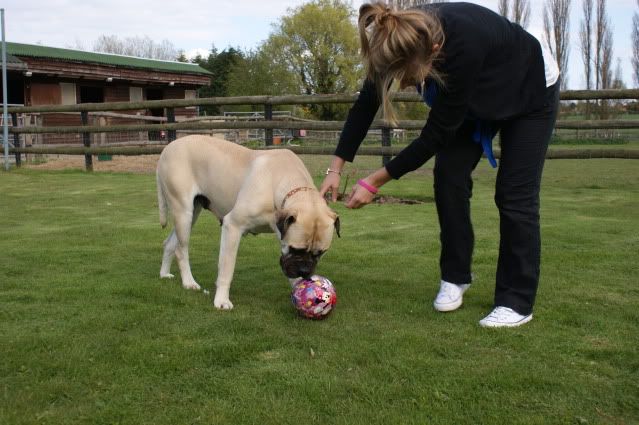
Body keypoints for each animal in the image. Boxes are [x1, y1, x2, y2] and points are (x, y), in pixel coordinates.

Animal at [155, 135, 340, 308]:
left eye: (320, 253)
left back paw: (164, 274)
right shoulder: (233, 226)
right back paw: (189, 282)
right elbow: (226, 269)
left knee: (169, 243)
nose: (304, 271)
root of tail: (167, 148)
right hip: (183, 212)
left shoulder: (282, 233)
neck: (281, 181)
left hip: (193, 212)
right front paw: (221, 300)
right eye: (296, 249)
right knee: (181, 249)